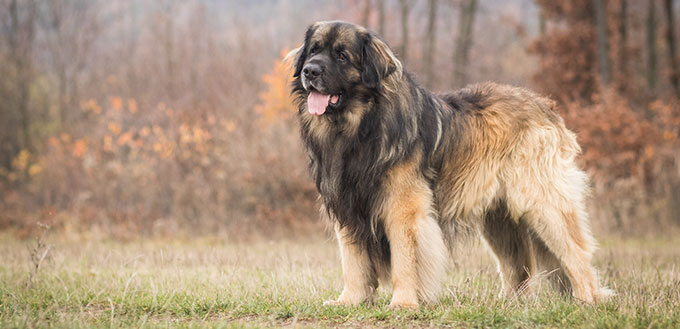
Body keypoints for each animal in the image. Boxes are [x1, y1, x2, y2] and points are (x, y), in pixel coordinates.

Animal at [290, 20, 612, 308]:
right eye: (313, 50)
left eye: (342, 56)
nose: (310, 71)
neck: (359, 127)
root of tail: (546, 106)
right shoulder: (347, 208)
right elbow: (354, 263)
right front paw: (350, 301)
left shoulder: (403, 210)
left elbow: (404, 259)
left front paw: (403, 303)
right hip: (499, 219)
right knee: (518, 265)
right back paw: (509, 304)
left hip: (543, 204)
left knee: (575, 252)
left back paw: (587, 299)